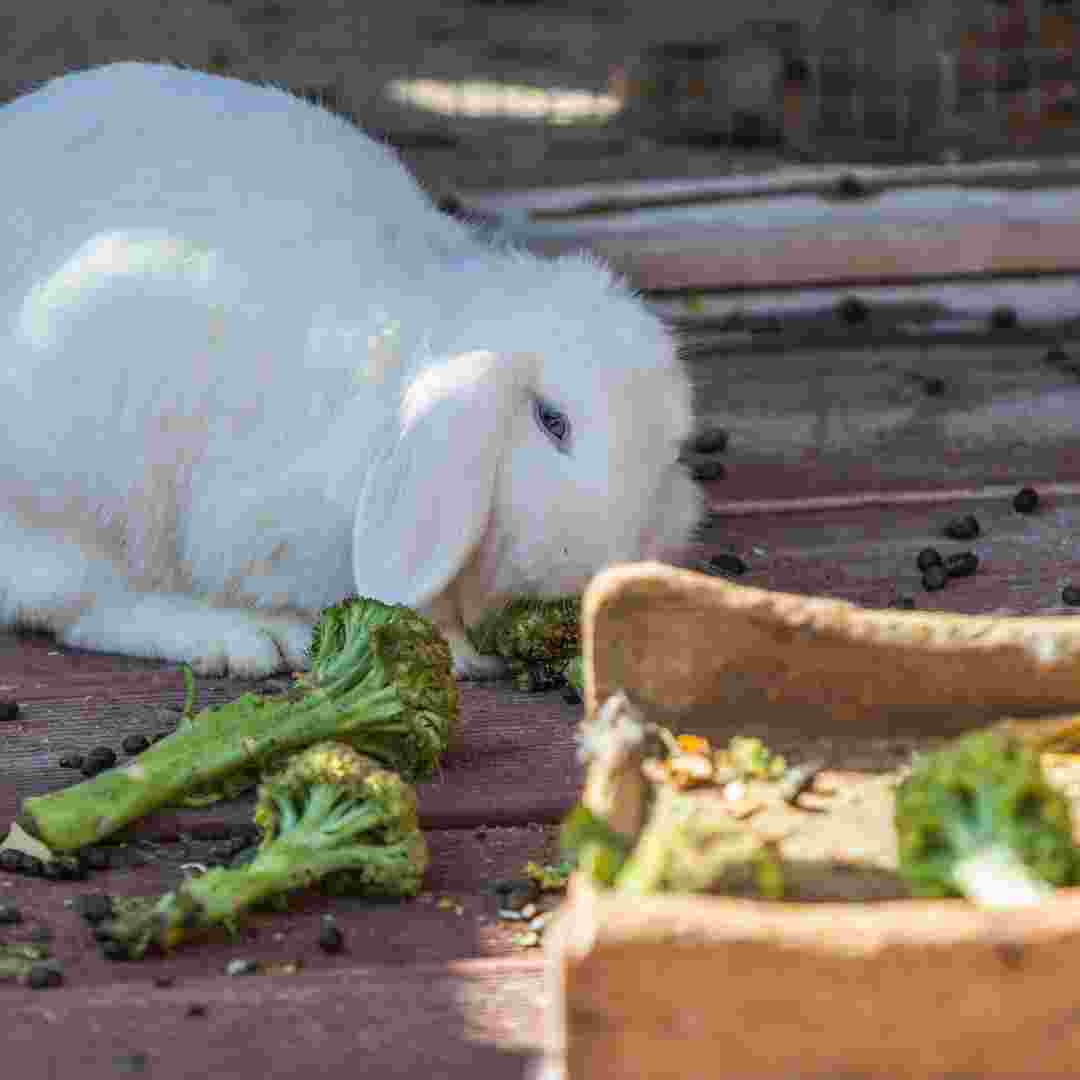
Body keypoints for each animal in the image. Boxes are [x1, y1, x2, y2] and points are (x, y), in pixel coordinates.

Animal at [0, 61, 704, 673]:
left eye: (672, 449)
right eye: (552, 421)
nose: (619, 563)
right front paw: (458, 653)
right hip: (83, 476)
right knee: (82, 604)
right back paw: (241, 640)